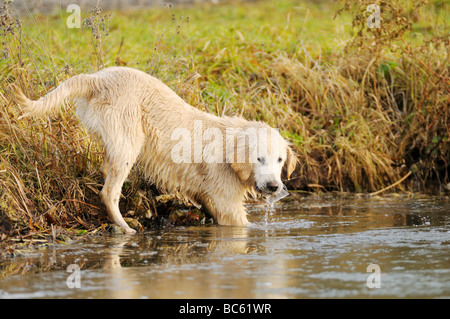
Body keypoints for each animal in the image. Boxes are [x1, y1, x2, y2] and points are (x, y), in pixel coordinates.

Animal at [11, 67, 296, 234]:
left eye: (280, 160)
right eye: (259, 158)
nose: (273, 186)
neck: (229, 145)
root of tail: (98, 78)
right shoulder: (227, 202)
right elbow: (239, 221)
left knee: (105, 168)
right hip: (129, 137)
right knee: (109, 192)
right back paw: (126, 228)